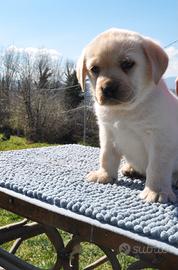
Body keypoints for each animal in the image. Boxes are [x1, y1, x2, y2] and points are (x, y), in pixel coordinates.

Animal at [77, 29, 178, 202]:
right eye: (95, 68)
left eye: (127, 64)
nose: (108, 88)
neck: (125, 110)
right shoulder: (107, 133)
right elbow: (106, 156)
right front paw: (104, 175)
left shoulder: (160, 139)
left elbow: (157, 167)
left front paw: (156, 191)